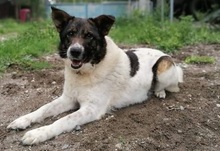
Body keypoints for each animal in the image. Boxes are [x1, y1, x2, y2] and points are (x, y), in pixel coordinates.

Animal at [6, 6, 183, 145]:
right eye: (70, 34)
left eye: (89, 36)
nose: (74, 51)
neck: (86, 71)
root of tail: (162, 52)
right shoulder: (68, 99)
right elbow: (43, 108)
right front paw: (23, 120)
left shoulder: (91, 109)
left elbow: (63, 120)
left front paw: (39, 133)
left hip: (163, 66)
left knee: (170, 86)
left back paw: (159, 92)